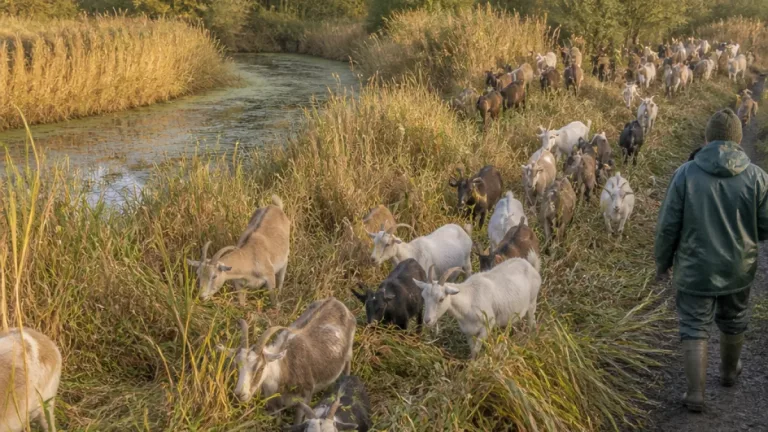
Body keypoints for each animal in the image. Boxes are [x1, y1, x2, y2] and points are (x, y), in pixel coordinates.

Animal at [219, 298, 355, 426]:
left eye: (261, 368)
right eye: (237, 366)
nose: (240, 394)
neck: (283, 370)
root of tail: (336, 302)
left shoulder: (304, 400)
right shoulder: (273, 403)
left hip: (348, 353)